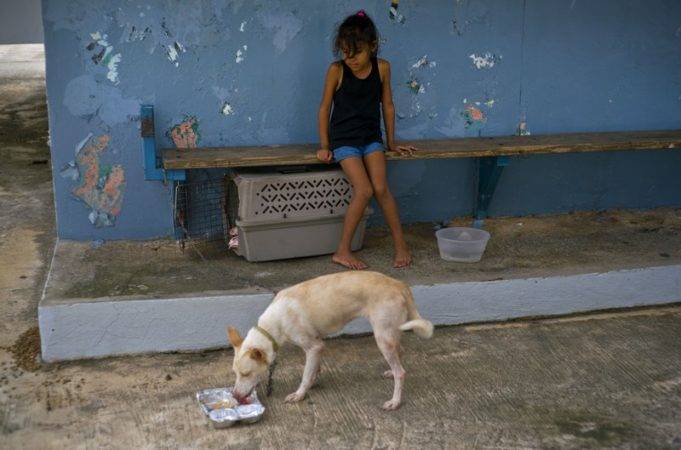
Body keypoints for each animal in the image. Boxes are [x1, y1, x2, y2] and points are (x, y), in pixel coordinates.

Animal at [227, 270, 430, 412]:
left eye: (246, 373)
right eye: (235, 373)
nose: (235, 395)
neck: (273, 324)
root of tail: (400, 284)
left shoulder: (313, 347)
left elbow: (305, 375)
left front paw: (300, 394)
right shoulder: (318, 345)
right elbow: (313, 370)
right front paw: (314, 380)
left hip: (382, 337)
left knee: (401, 372)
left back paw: (395, 401)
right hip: (390, 334)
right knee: (400, 353)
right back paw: (390, 372)